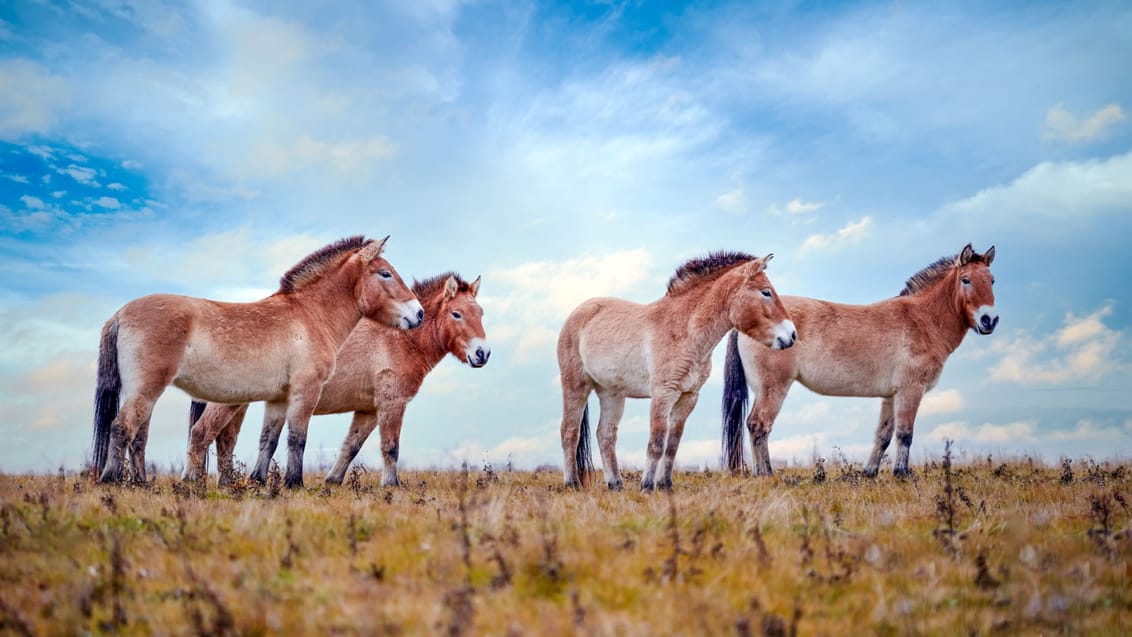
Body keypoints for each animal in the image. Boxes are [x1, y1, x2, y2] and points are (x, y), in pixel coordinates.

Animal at [90, 235, 423, 488]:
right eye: (385, 273)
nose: (418, 313)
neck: (309, 316)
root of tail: (120, 314)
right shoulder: (306, 391)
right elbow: (297, 438)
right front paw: (294, 483)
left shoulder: (278, 399)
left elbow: (269, 440)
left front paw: (259, 482)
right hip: (146, 389)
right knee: (123, 427)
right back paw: (111, 480)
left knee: (139, 435)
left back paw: (142, 482)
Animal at [183, 271, 489, 486]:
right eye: (456, 314)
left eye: (481, 313)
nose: (482, 353)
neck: (399, 338)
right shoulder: (392, 404)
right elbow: (390, 447)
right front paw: (391, 485)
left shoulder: (368, 410)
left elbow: (350, 446)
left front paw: (332, 481)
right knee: (202, 434)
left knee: (225, 441)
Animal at [559, 252, 796, 491]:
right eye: (766, 292)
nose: (792, 335)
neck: (684, 330)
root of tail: (580, 311)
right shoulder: (663, 394)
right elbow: (656, 442)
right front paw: (647, 486)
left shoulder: (688, 397)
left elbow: (672, 444)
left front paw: (665, 485)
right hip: (576, 385)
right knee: (569, 431)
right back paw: (572, 483)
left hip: (611, 393)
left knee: (605, 434)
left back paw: (615, 484)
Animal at [724, 243, 1000, 479]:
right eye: (966, 280)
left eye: (992, 280)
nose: (989, 320)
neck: (923, 319)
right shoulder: (911, 389)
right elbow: (905, 433)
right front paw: (903, 474)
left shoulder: (891, 395)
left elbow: (884, 435)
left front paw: (869, 473)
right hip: (773, 389)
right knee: (759, 425)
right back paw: (766, 474)